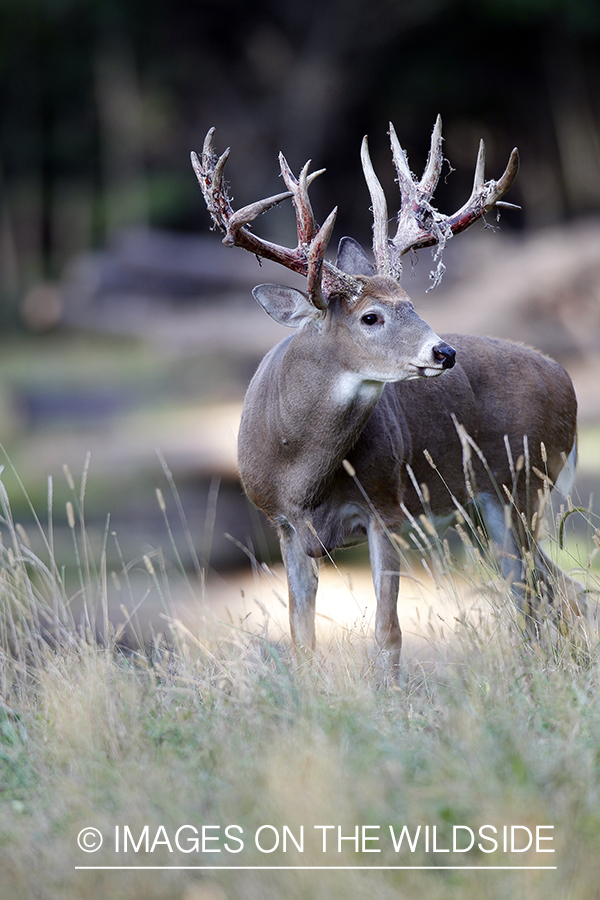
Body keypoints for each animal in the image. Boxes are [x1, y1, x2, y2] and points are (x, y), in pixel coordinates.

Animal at [191, 118, 580, 668]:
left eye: (411, 302)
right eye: (370, 317)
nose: (444, 352)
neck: (301, 476)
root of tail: (566, 379)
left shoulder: (386, 508)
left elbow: (388, 632)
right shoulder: (282, 525)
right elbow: (301, 635)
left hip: (523, 487)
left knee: (540, 592)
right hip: (482, 512)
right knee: (549, 588)